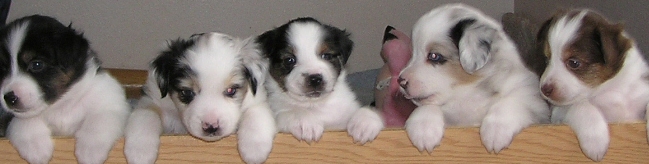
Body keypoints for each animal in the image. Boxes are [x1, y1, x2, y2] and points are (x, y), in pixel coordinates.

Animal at [0, 15, 130, 163]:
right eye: (3, 68)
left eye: (37, 64)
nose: (9, 98)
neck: (61, 106)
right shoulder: (9, 119)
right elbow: (24, 121)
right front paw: (36, 149)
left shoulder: (110, 105)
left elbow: (98, 122)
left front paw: (90, 151)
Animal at [124, 32, 274, 164]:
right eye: (187, 92)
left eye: (231, 90)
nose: (211, 127)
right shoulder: (151, 99)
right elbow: (146, 115)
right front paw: (140, 153)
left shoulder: (257, 100)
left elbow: (255, 115)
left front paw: (254, 150)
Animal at [398, 3, 548, 153]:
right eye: (413, 54)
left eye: (434, 56)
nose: (400, 81)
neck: (469, 95)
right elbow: (426, 107)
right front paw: (423, 129)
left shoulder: (534, 101)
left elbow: (510, 102)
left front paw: (496, 130)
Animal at [536, 8, 648, 160]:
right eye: (547, 60)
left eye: (574, 63)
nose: (544, 89)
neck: (609, 88)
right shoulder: (558, 113)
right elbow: (582, 105)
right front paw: (595, 141)